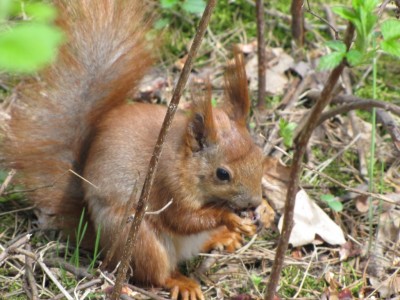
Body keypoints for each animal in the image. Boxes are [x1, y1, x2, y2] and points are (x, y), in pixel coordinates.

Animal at [3, 1, 268, 298]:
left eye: (260, 157)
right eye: (222, 174)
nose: (254, 202)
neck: (182, 161)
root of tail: (99, 239)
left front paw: (260, 214)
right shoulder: (168, 186)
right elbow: (183, 220)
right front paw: (230, 219)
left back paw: (222, 236)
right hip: (139, 238)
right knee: (156, 274)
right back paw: (182, 281)